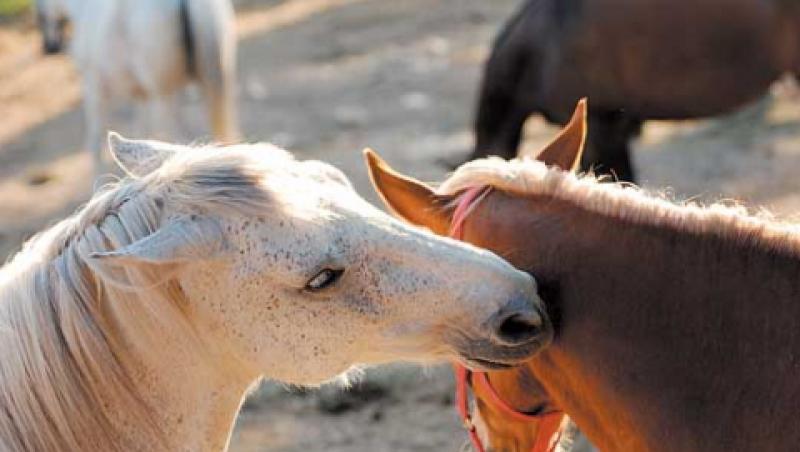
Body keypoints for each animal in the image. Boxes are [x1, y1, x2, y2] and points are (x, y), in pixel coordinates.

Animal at [36, 0, 236, 172]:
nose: (49, 48)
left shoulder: (93, 88)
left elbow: (94, 142)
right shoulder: (140, 95)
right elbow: (140, 133)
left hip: (164, 98)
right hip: (212, 83)